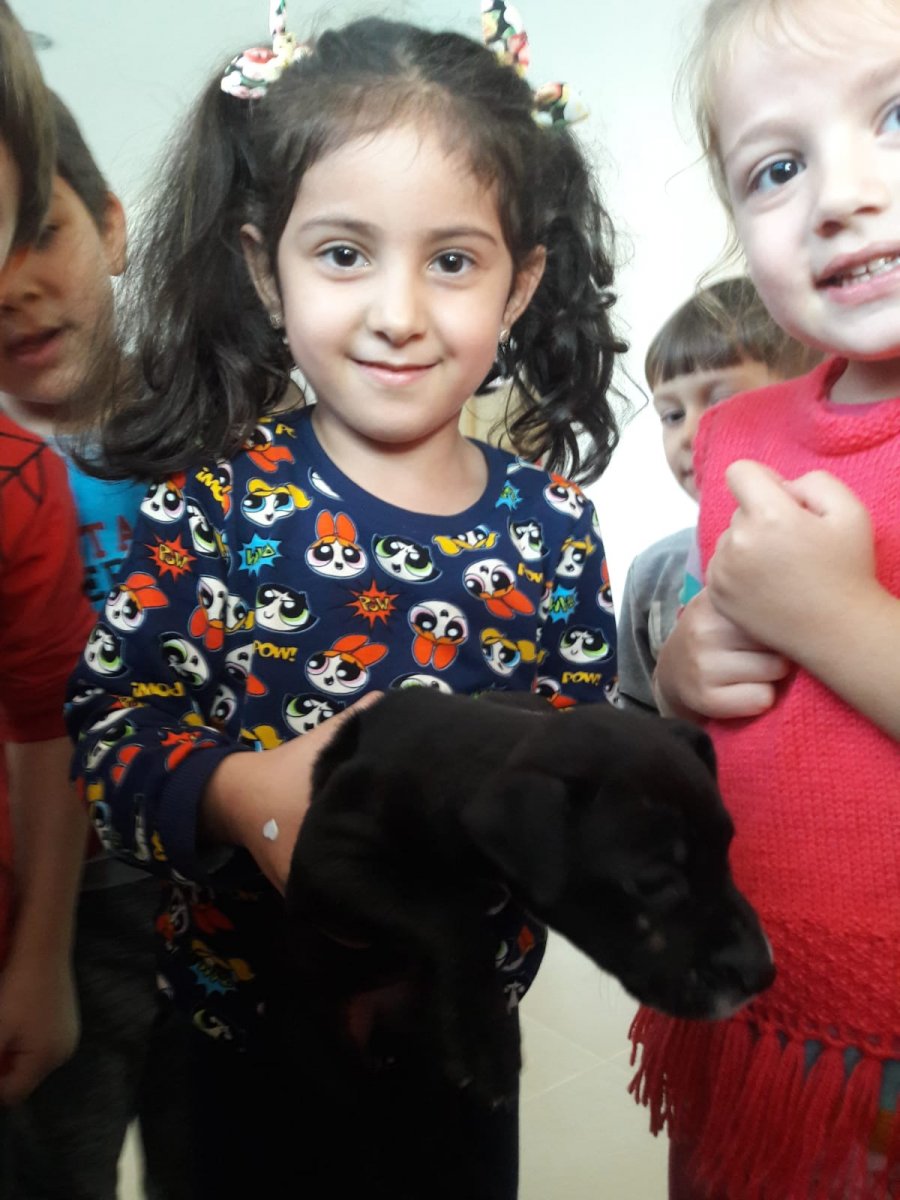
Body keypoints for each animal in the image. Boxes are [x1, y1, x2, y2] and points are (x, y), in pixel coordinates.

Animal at [285, 689, 774, 1105]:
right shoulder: (325, 859)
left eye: (726, 848)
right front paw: (485, 1037)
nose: (762, 974)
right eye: (654, 883)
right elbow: (449, 917)